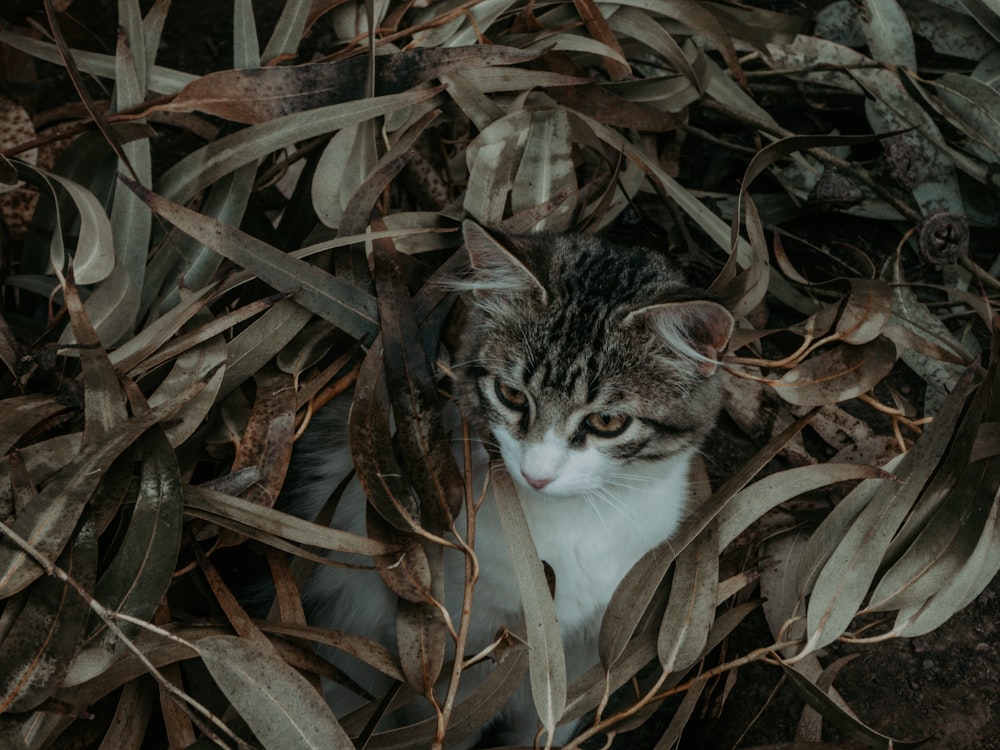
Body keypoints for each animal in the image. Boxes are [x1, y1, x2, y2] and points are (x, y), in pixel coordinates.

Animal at [282, 220, 736, 748]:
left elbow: (551, 723)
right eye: (511, 394)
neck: (569, 530)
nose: (537, 475)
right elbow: (450, 721)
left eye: (607, 421)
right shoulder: (456, 653)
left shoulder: (587, 652)